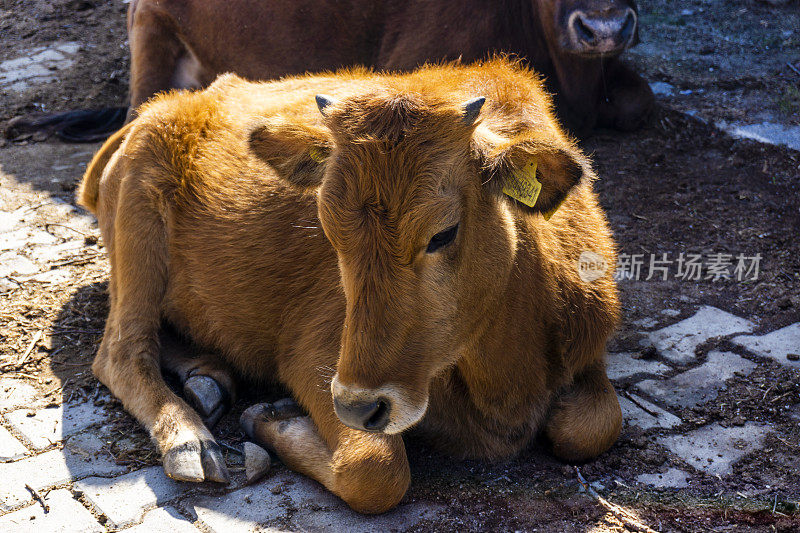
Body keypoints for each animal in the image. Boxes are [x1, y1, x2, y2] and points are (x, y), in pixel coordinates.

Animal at [79, 58, 620, 512]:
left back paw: (207, 380)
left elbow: (594, 426)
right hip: (138, 231)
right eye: (327, 227)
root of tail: (167, 105)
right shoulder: (318, 353)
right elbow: (376, 471)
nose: (360, 407)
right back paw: (190, 441)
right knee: (122, 351)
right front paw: (271, 419)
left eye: (443, 233)